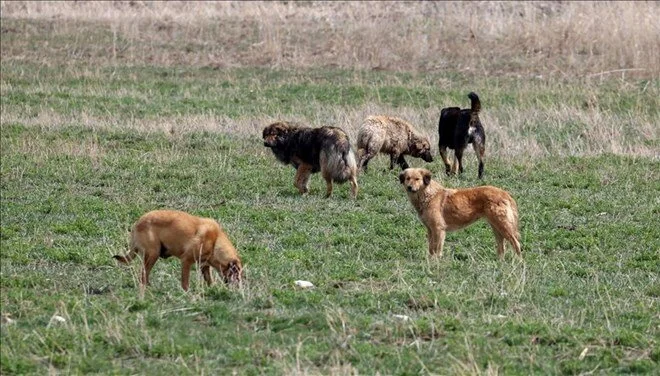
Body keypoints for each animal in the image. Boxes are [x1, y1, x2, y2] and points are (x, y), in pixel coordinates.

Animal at [112, 210, 244, 292]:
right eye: (236, 273)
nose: (240, 288)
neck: (215, 241)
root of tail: (137, 223)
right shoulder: (186, 261)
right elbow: (185, 281)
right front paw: (187, 293)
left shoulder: (204, 266)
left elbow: (209, 280)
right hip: (153, 254)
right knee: (143, 274)